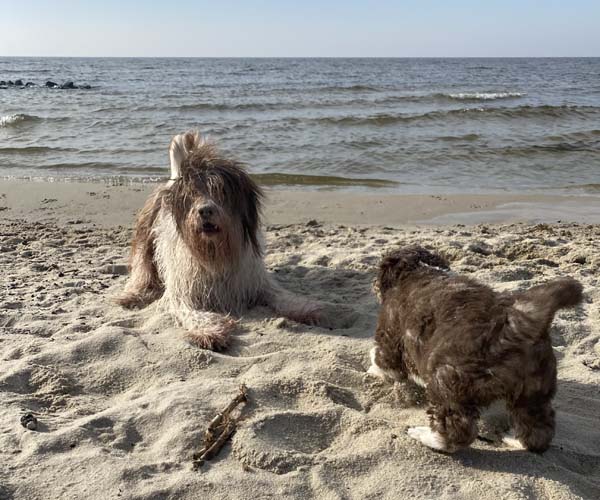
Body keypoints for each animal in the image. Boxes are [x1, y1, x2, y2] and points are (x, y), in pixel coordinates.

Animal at [117, 131, 346, 350]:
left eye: (221, 191)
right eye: (192, 193)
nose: (205, 210)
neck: (216, 254)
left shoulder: (253, 280)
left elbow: (281, 295)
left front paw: (306, 308)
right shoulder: (184, 291)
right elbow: (193, 313)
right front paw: (209, 331)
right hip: (145, 241)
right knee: (142, 270)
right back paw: (133, 295)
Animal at [368, 245, 583, 453]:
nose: (373, 284)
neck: (418, 268)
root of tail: (515, 321)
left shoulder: (390, 335)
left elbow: (383, 360)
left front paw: (372, 370)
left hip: (448, 381)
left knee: (456, 431)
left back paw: (425, 436)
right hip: (534, 390)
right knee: (538, 430)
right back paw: (515, 439)